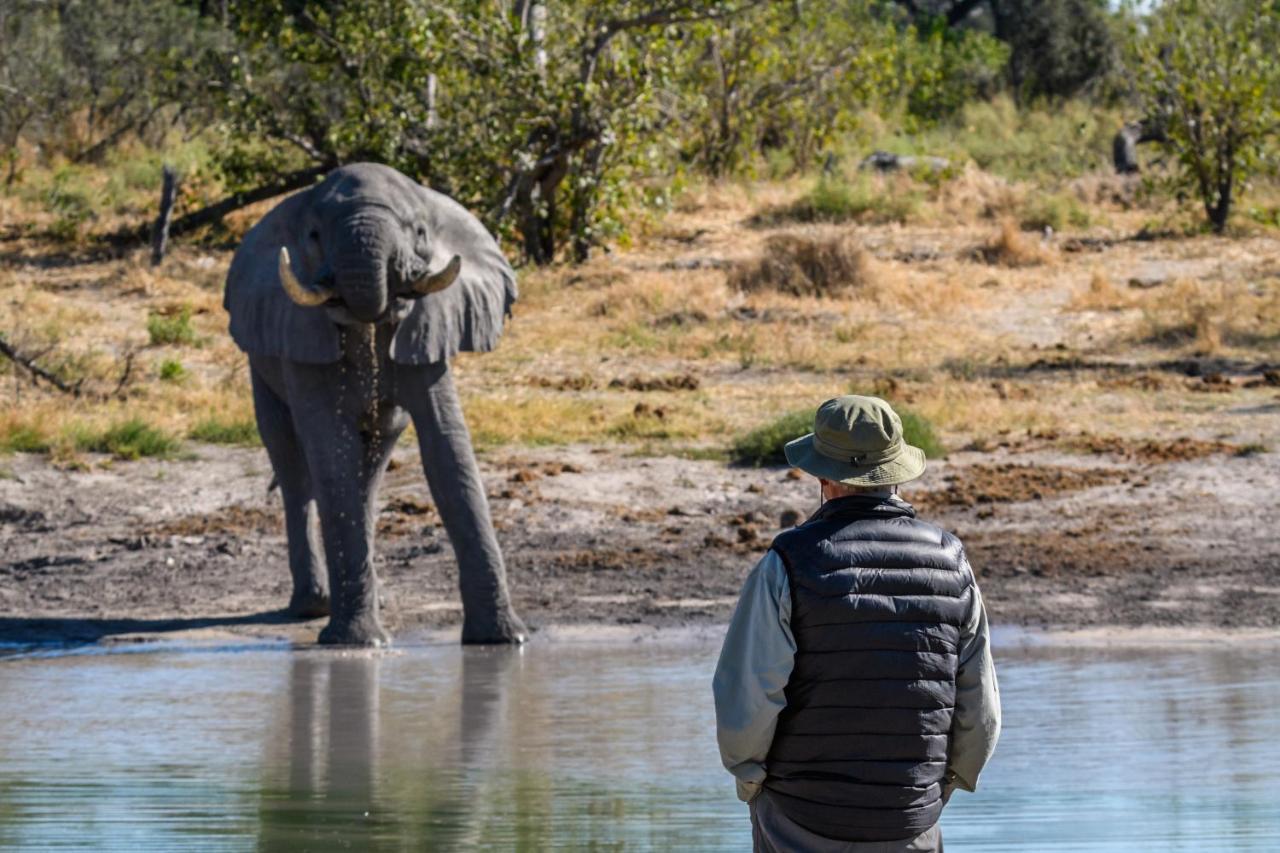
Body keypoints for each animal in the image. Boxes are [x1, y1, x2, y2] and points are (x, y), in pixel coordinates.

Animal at [224, 161, 524, 645]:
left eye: (420, 232)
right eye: (313, 236)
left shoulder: (429, 324)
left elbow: (448, 450)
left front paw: (502, 639)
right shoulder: (300, 331)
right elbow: (331, 450)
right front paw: (357, 643)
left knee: (372, 464)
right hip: (260, 361)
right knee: (294, 468)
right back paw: (313, 606)